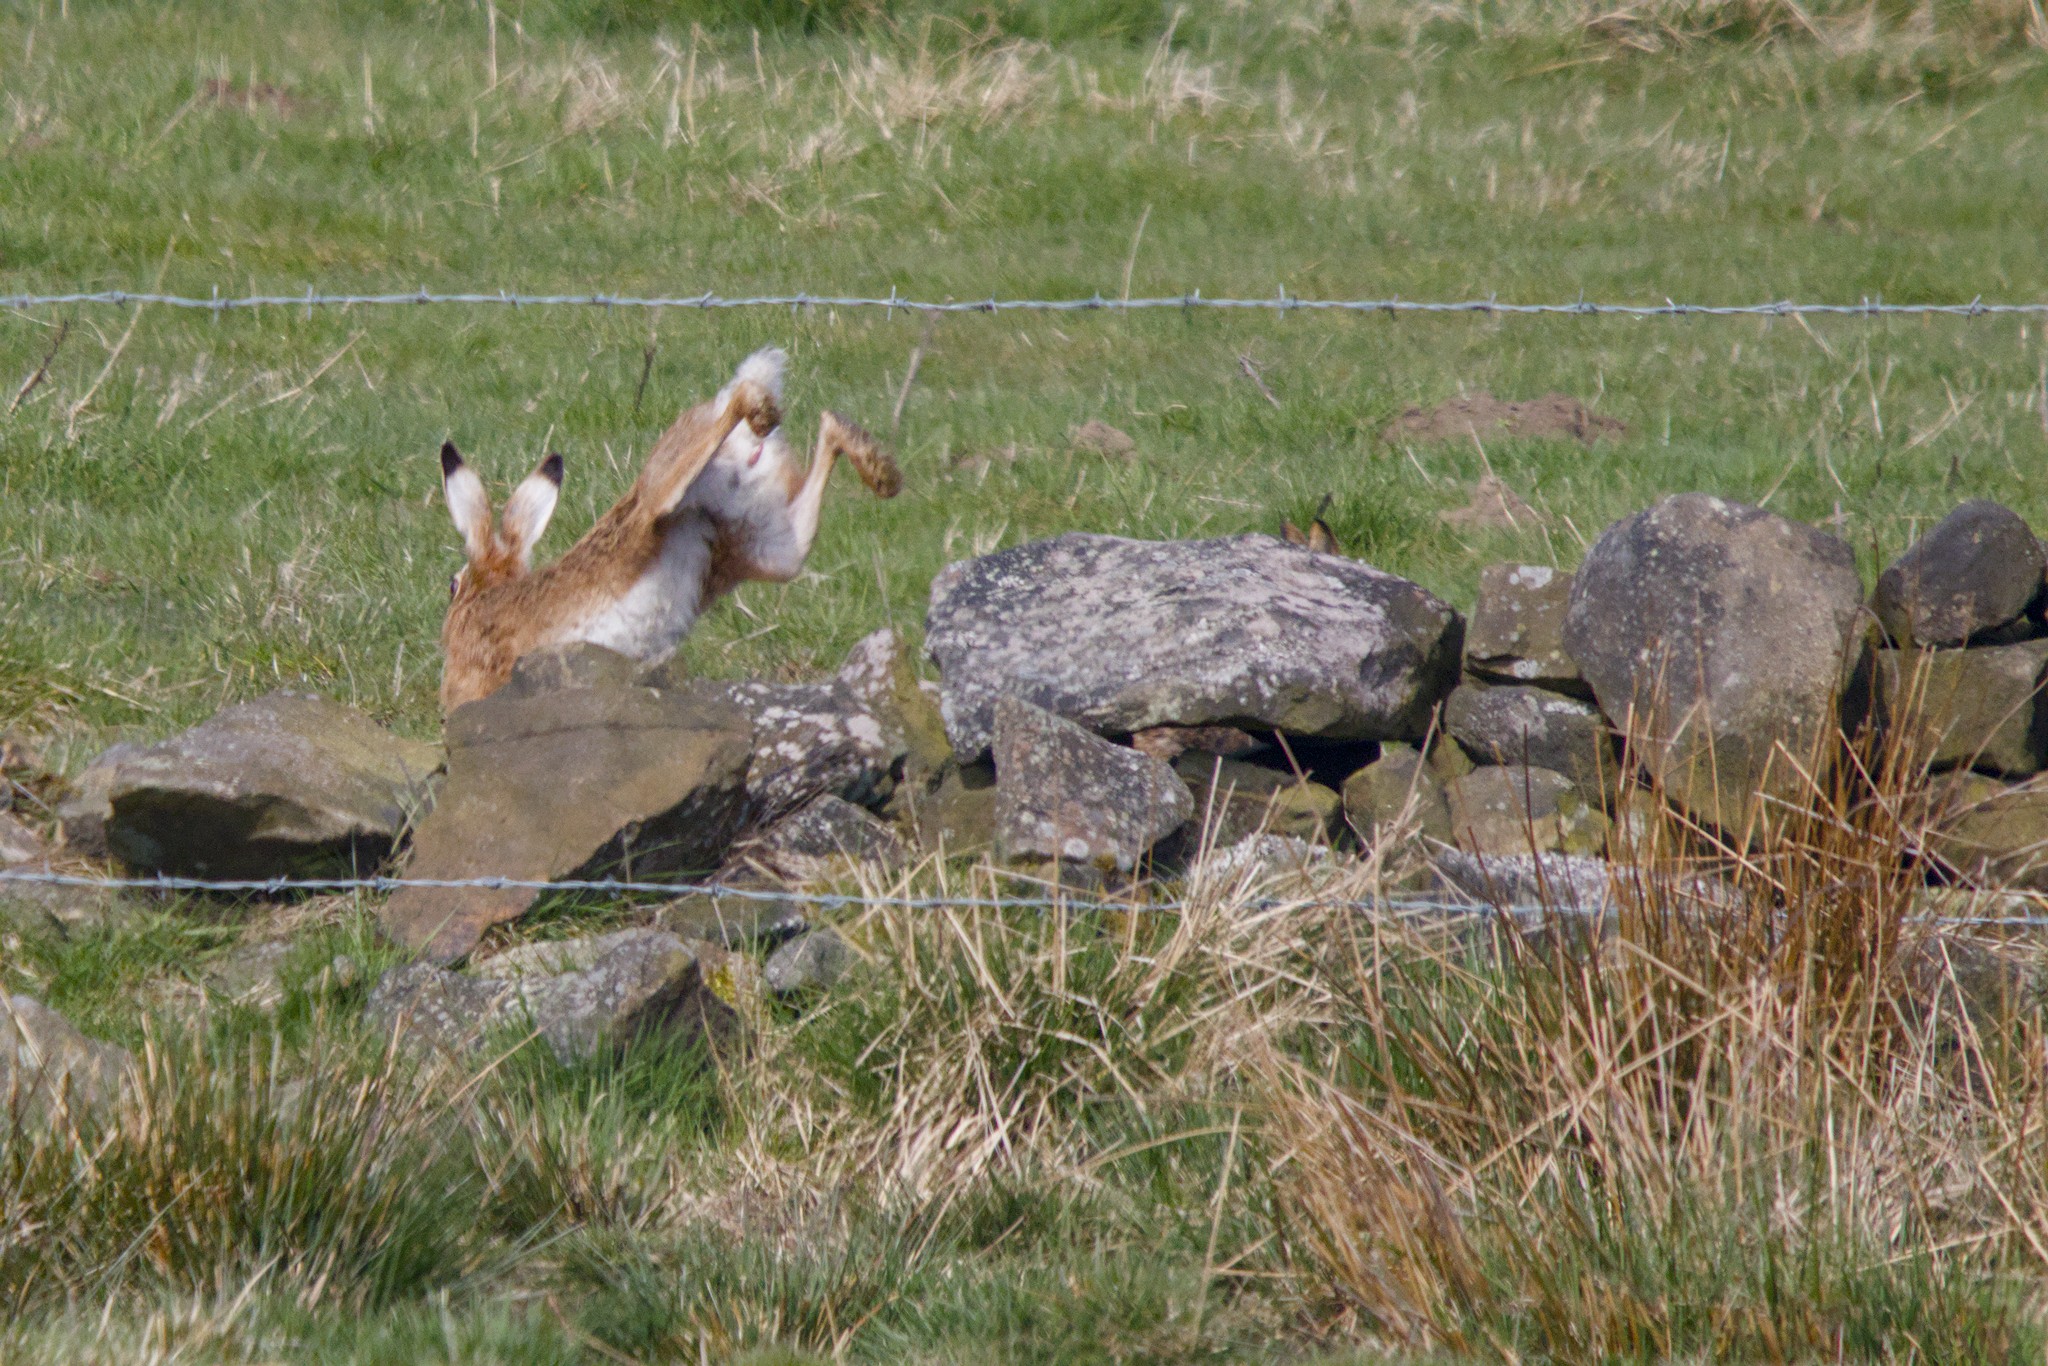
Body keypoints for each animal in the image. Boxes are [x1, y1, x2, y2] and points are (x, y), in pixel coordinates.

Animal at [437, 346, 899, 711]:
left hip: (664, 498)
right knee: (827, 430)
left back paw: (759, 407)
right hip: (772, 546)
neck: (483, 599)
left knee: (729, 414)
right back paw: (881, 471)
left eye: (451, 585)